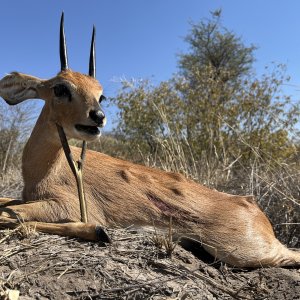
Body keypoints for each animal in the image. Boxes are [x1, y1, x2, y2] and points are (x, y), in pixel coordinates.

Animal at [0, 14, 300, 268]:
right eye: (60, 88)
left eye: (101, 94)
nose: (98, 116)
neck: (45, 169)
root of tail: (251, 204)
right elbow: (8, 207)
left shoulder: (66, 206)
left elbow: (12, 215)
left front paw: (99, 231)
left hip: (245, 252)